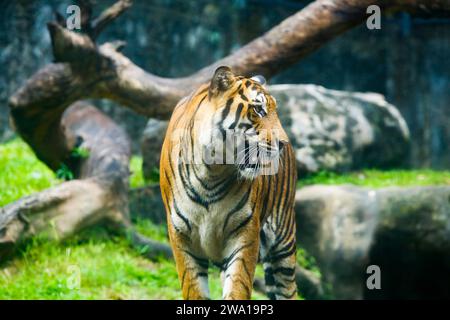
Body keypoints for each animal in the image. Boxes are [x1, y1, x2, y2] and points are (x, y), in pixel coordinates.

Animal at [160, 65, 298, 300]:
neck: (211, 172)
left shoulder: (244, 234)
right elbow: (193, 288)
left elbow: (238, 286)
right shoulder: (181, 236)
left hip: (284, 240)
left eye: (275, 111)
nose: (283, 143)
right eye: (258, 110)